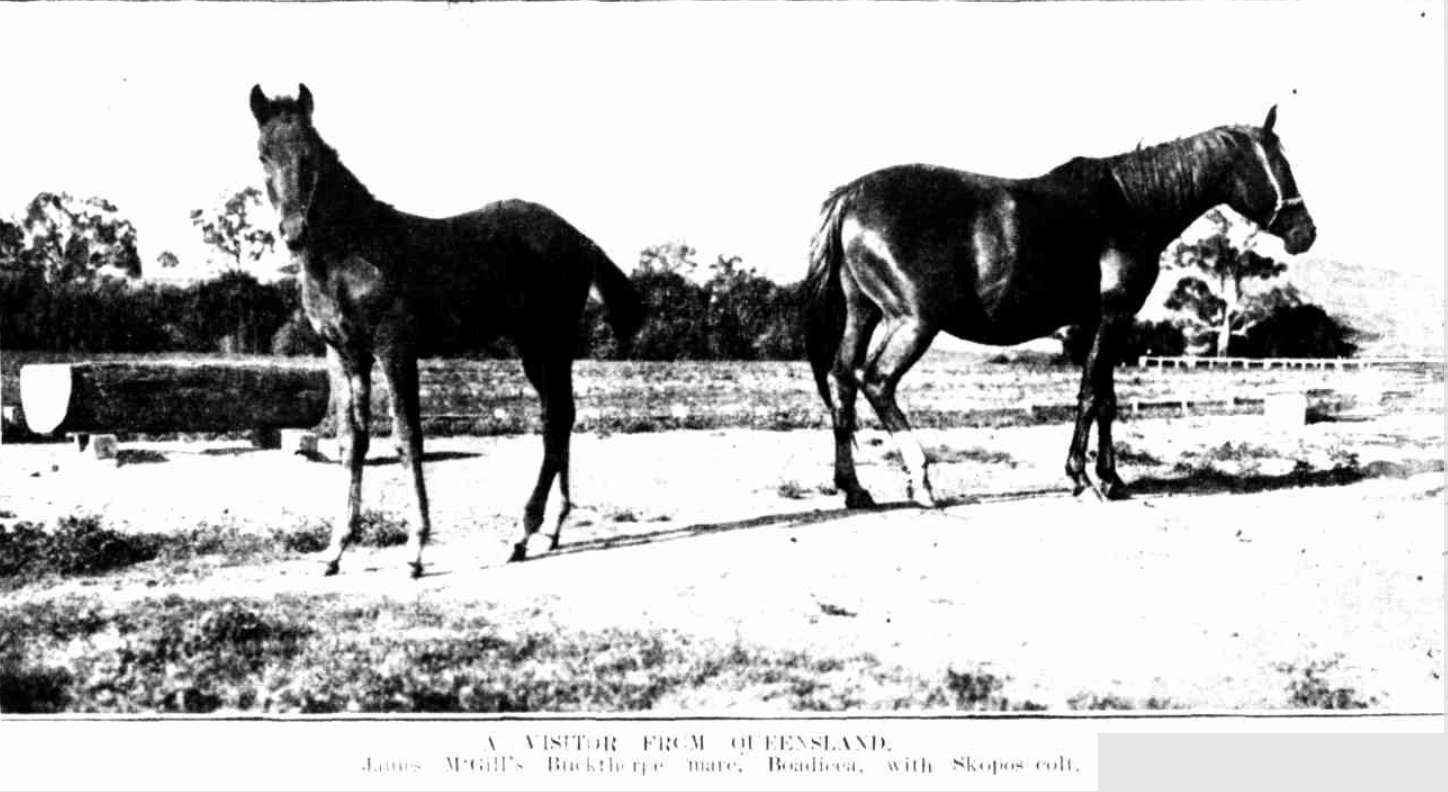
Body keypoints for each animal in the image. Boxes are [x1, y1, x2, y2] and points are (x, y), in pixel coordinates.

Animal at [251, 85, 642, 576]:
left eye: (311, 154)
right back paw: (551, 529)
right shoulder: (344, 355)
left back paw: (521, 533)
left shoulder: (394, 348)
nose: (293, 233)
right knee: (560, 416)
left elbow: (407, 437)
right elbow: (351, 441)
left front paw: (415, 549)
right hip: (541, 347)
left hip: (545, 341)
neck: (350, 253)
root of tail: (579, 238)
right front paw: (335, 549)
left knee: (556, 420)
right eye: (262, 154)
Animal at [810, 107, 1320, 509]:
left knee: (842, 381)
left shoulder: (1101, 321)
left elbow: (1107, 400)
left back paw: (855, 490)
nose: (1306, 232)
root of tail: (852, 196)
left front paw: (1113, 479)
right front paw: (1083, 478)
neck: (1129, 203)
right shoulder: (1113, 316)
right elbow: (1091, 393)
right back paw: (921, 481)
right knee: (877, 381)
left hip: (863, 313)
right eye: (1278, 164)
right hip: (913, 322)